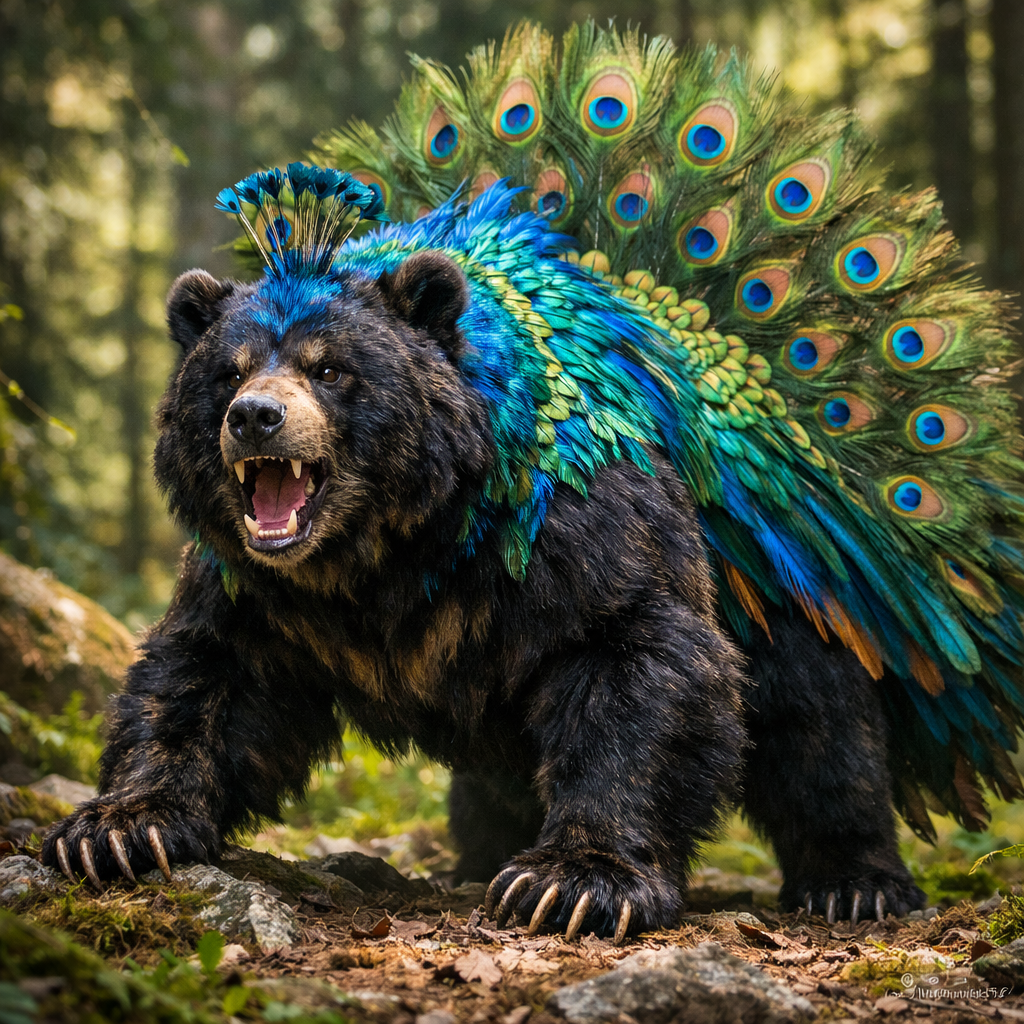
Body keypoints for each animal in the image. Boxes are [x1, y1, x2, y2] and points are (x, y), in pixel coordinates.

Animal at [42, 239, 925, 940]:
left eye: (329, 368)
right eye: (226, 373)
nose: (255, 415)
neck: (385, 551)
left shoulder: (570, 533)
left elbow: (641, 661)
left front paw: (573, 881)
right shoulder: (258, 594)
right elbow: (202, 680)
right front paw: (116, 830)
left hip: (784, 593)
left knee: (820, 727)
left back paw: (857, 883)